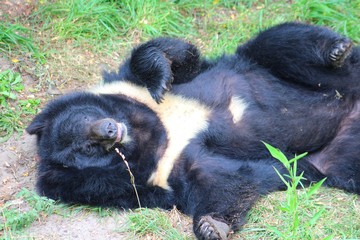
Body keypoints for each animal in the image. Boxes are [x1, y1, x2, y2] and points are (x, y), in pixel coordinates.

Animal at [26, 22, 358, 240]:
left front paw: (160, 79)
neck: (155, 130)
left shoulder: (128, 85)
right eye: (88, 149)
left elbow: (170, 57)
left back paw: (337, 51)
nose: (109, 130)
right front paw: (211, 225)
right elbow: (219, 181)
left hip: (304, 72)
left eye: (87, 117)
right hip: (338, 157)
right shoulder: (163, 171)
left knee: (277, 43)